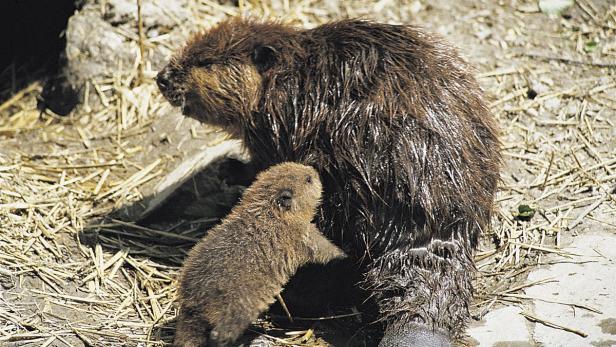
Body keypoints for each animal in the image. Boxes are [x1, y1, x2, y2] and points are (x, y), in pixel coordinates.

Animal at [176, 163, 344, 347]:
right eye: (308, 179)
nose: (314, 170)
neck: (269, 212)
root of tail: (193, 305)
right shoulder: (302, 233)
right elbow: (321, 248)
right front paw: (343, 255)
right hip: (240, 303)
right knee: (222, 330)